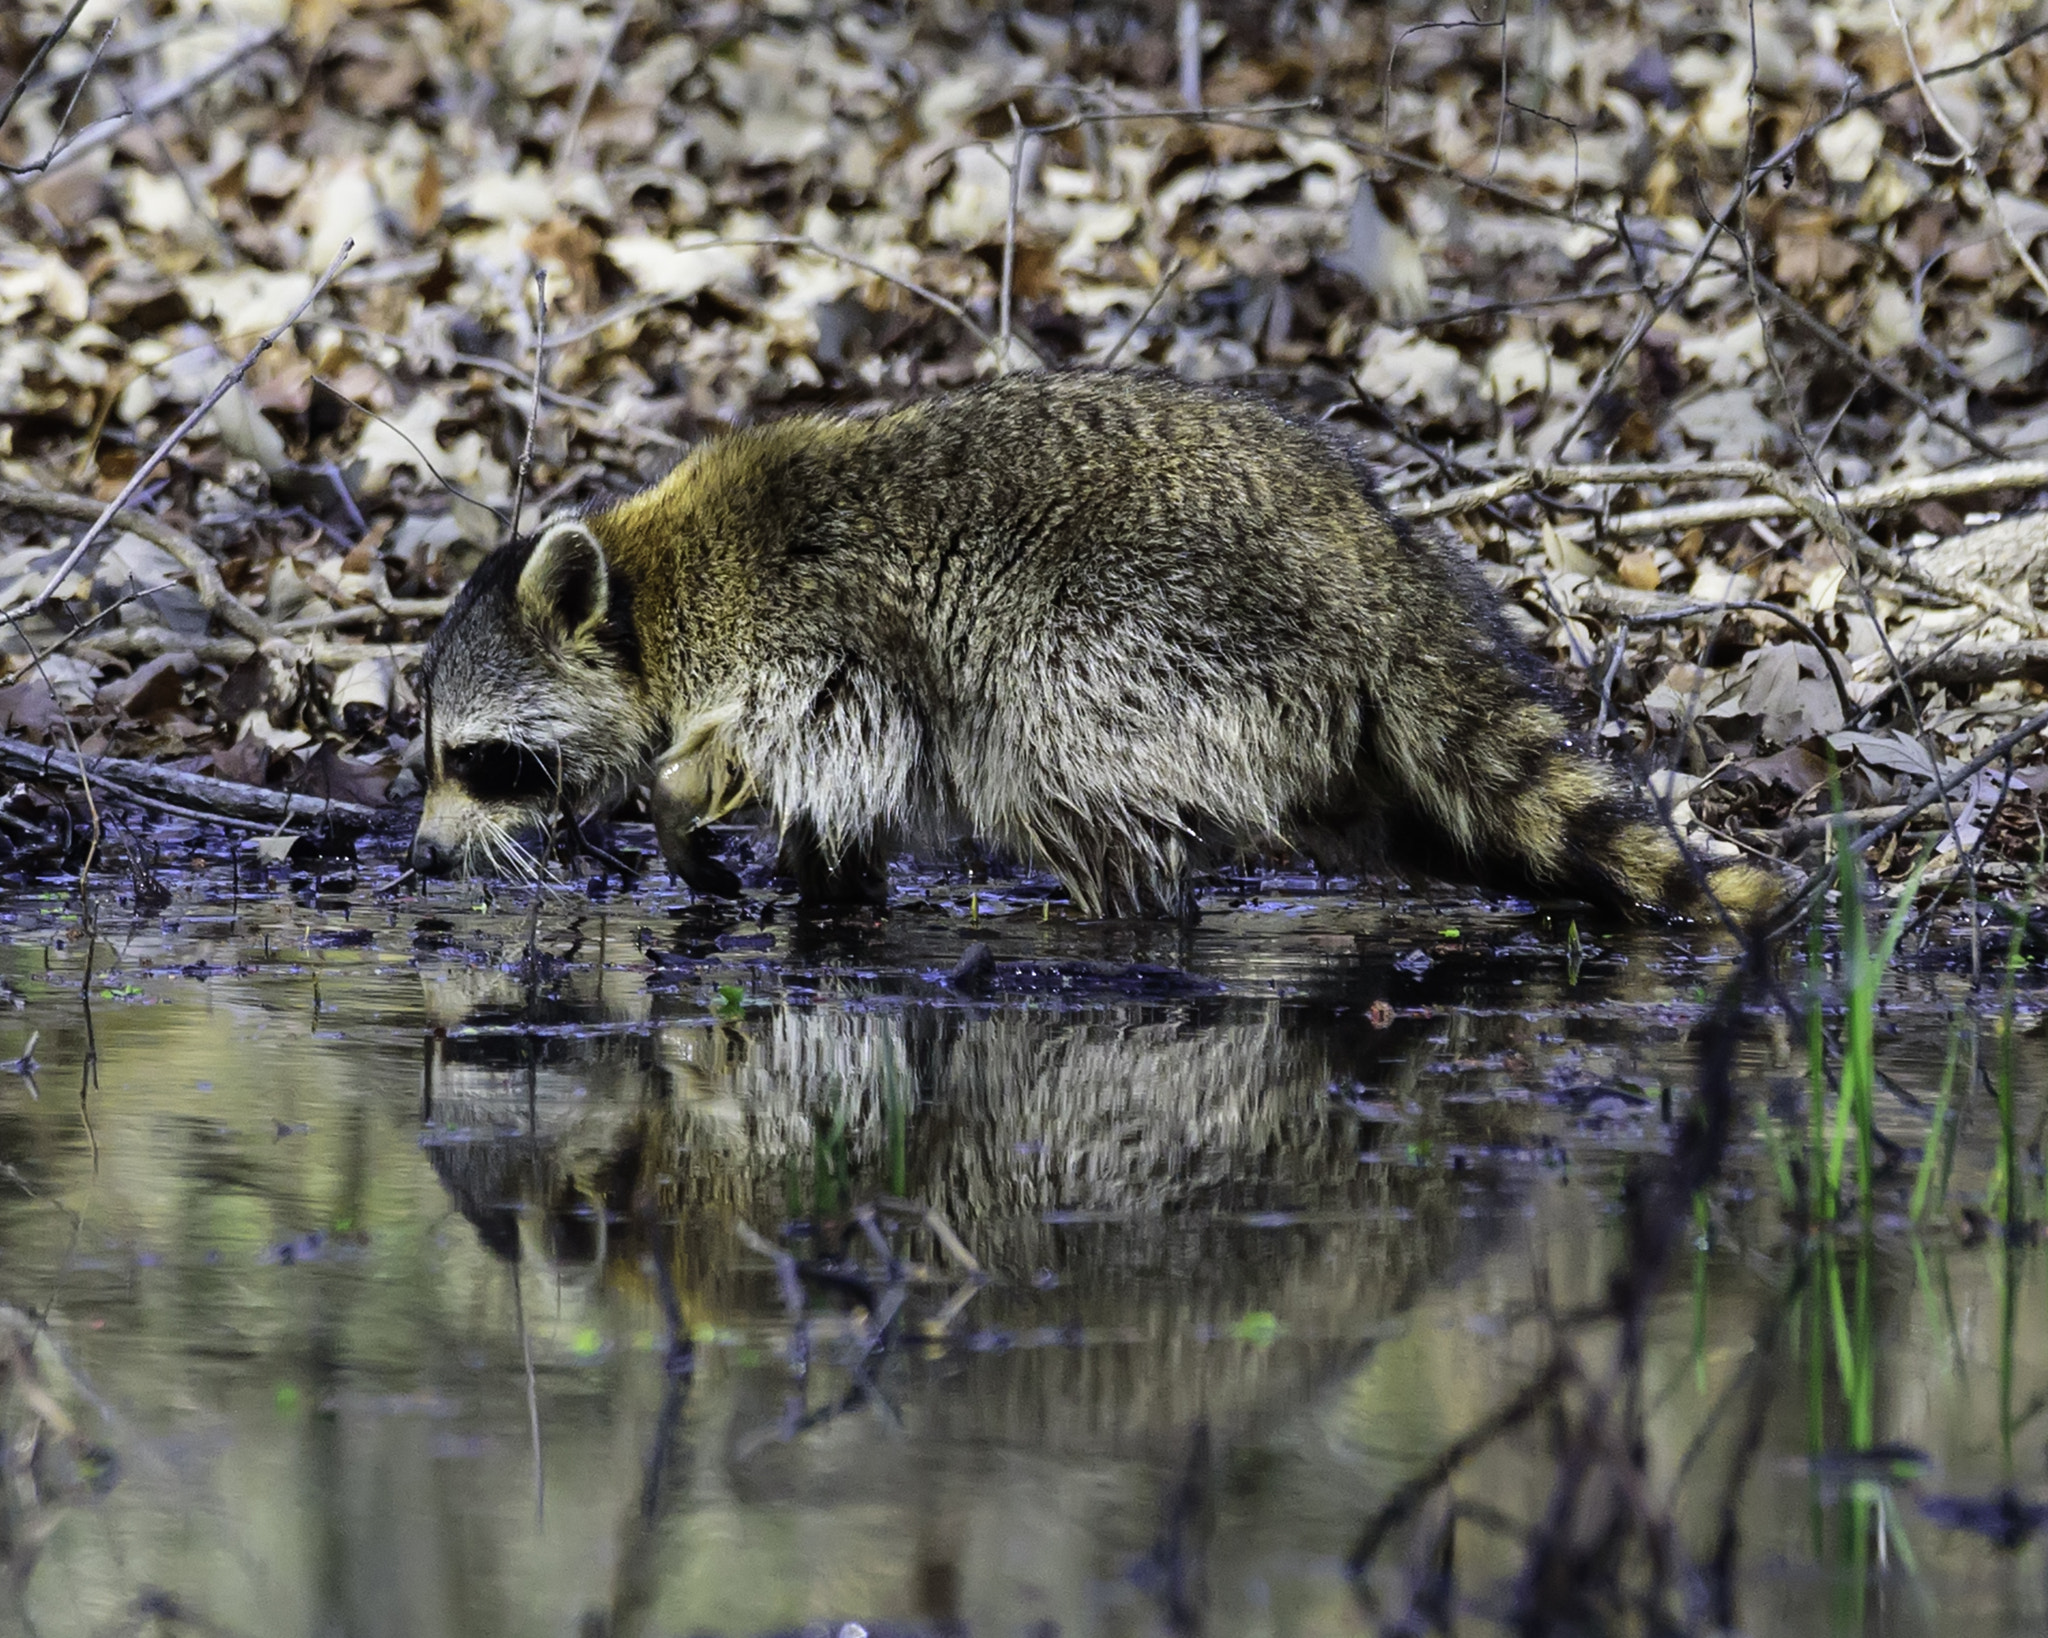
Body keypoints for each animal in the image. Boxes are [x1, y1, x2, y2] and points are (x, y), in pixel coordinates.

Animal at [411, 368, 1777, 921]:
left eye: (476, 759)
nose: (419, 856)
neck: (653, 596)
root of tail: (1377, 566)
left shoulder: (818, 640)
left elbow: (843, 740)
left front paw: (681, 805)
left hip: (1142, 636)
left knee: (1048, 759)